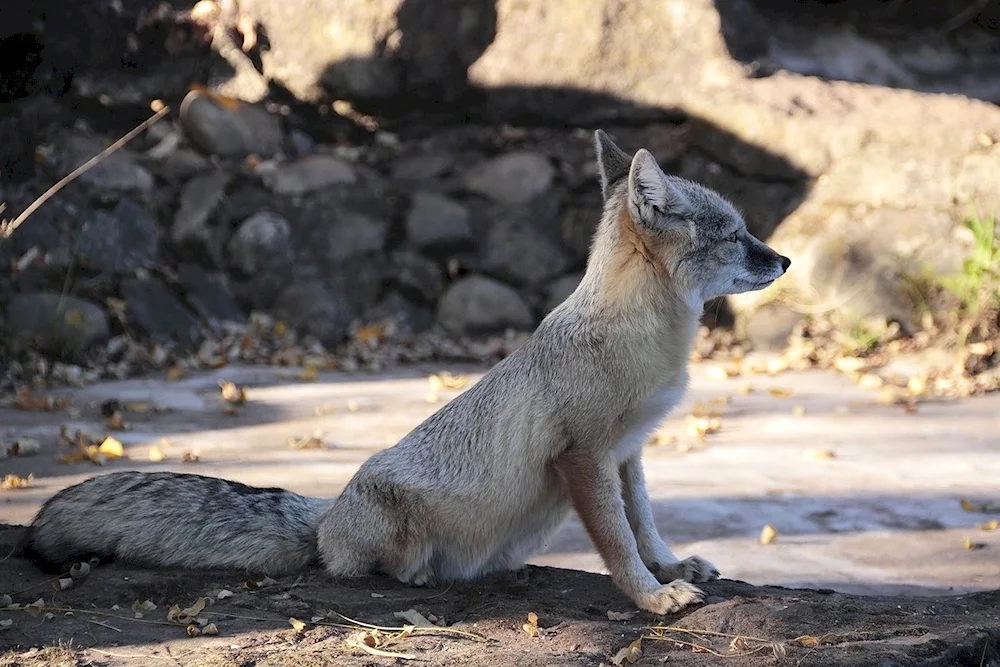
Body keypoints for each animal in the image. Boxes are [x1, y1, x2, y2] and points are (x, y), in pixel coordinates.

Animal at [17, 130, 788, 616]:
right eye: (735, 235)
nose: (783, 261)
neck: (635, 333)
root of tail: (326, 512)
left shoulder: (628, 454)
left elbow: (646, 524)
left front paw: (670, 567)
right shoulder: (584, 457)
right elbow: (618, 541)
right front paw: (651, 597)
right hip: (397, 531)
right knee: (353, 566)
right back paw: (416, 570)